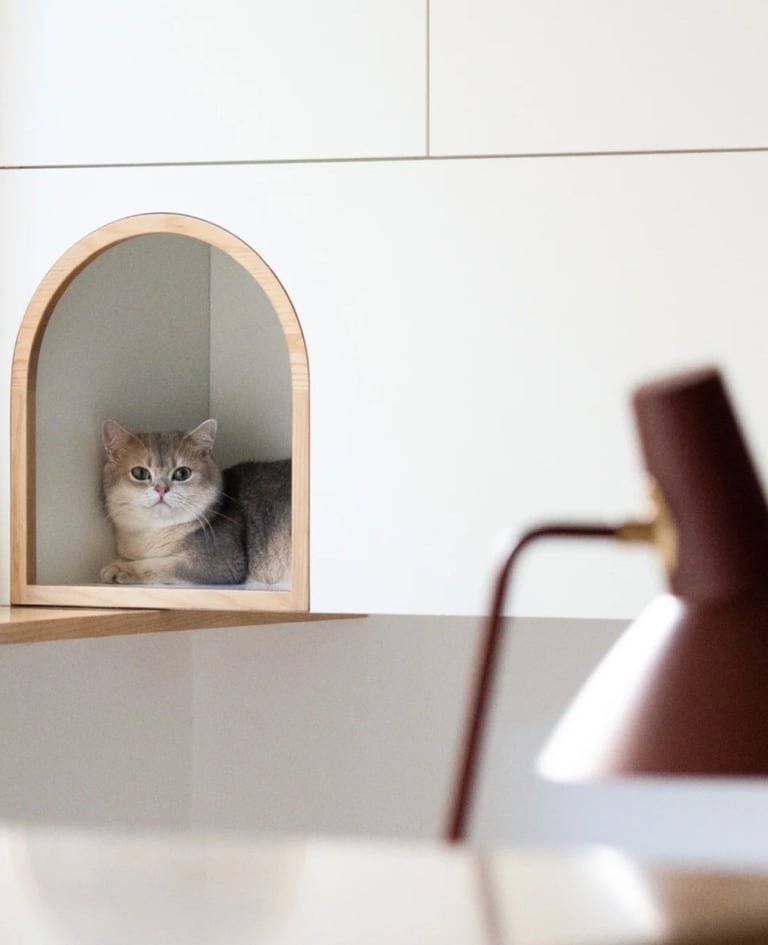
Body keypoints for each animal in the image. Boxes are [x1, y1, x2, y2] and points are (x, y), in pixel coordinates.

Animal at [100, 418, 291, 586]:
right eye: (140, 473)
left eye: (182, 473)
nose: (161, 489)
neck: (153, 533)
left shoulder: (223, 561)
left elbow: (163, 563)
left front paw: (121, 568)